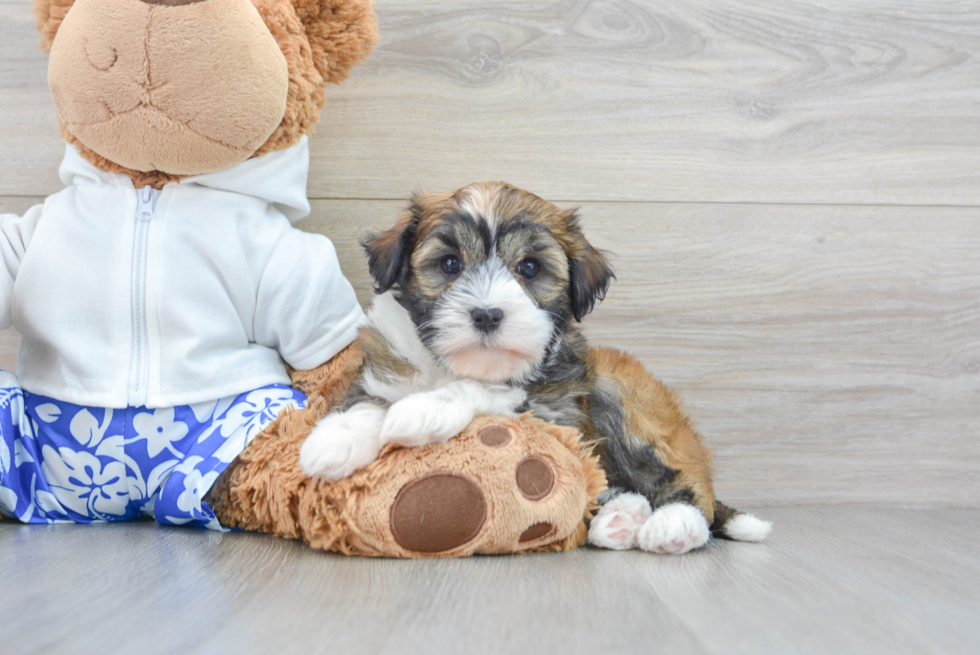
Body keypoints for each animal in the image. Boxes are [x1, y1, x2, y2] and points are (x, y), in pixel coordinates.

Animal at [296, 182, 764, 556]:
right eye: (450, 264)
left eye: (530, 267)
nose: (487, 315)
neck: (457, 364)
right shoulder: (383, 366)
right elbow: (367, 401)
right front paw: (336, 439)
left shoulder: (553, 410)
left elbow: (487, 392)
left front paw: (425, 409)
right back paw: (620, 518)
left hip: (622, 395)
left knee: (684, 482)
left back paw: (674, 525)